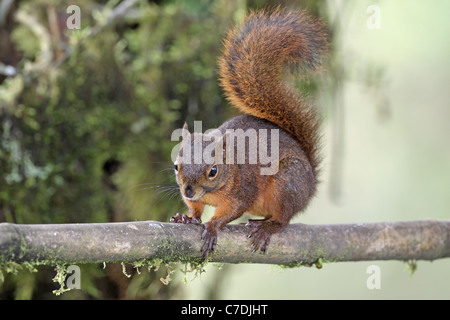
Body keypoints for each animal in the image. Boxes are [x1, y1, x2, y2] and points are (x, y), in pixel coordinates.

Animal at [169, 7, 326, 258]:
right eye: (176, 165)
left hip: (287, 183)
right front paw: (188, 217)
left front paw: (212, 227)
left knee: (283, 218)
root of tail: (311, 185)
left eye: (213, 171)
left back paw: (266, 227)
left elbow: (231, 212)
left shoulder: (243, 191)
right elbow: (196, 209)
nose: (189, 191)